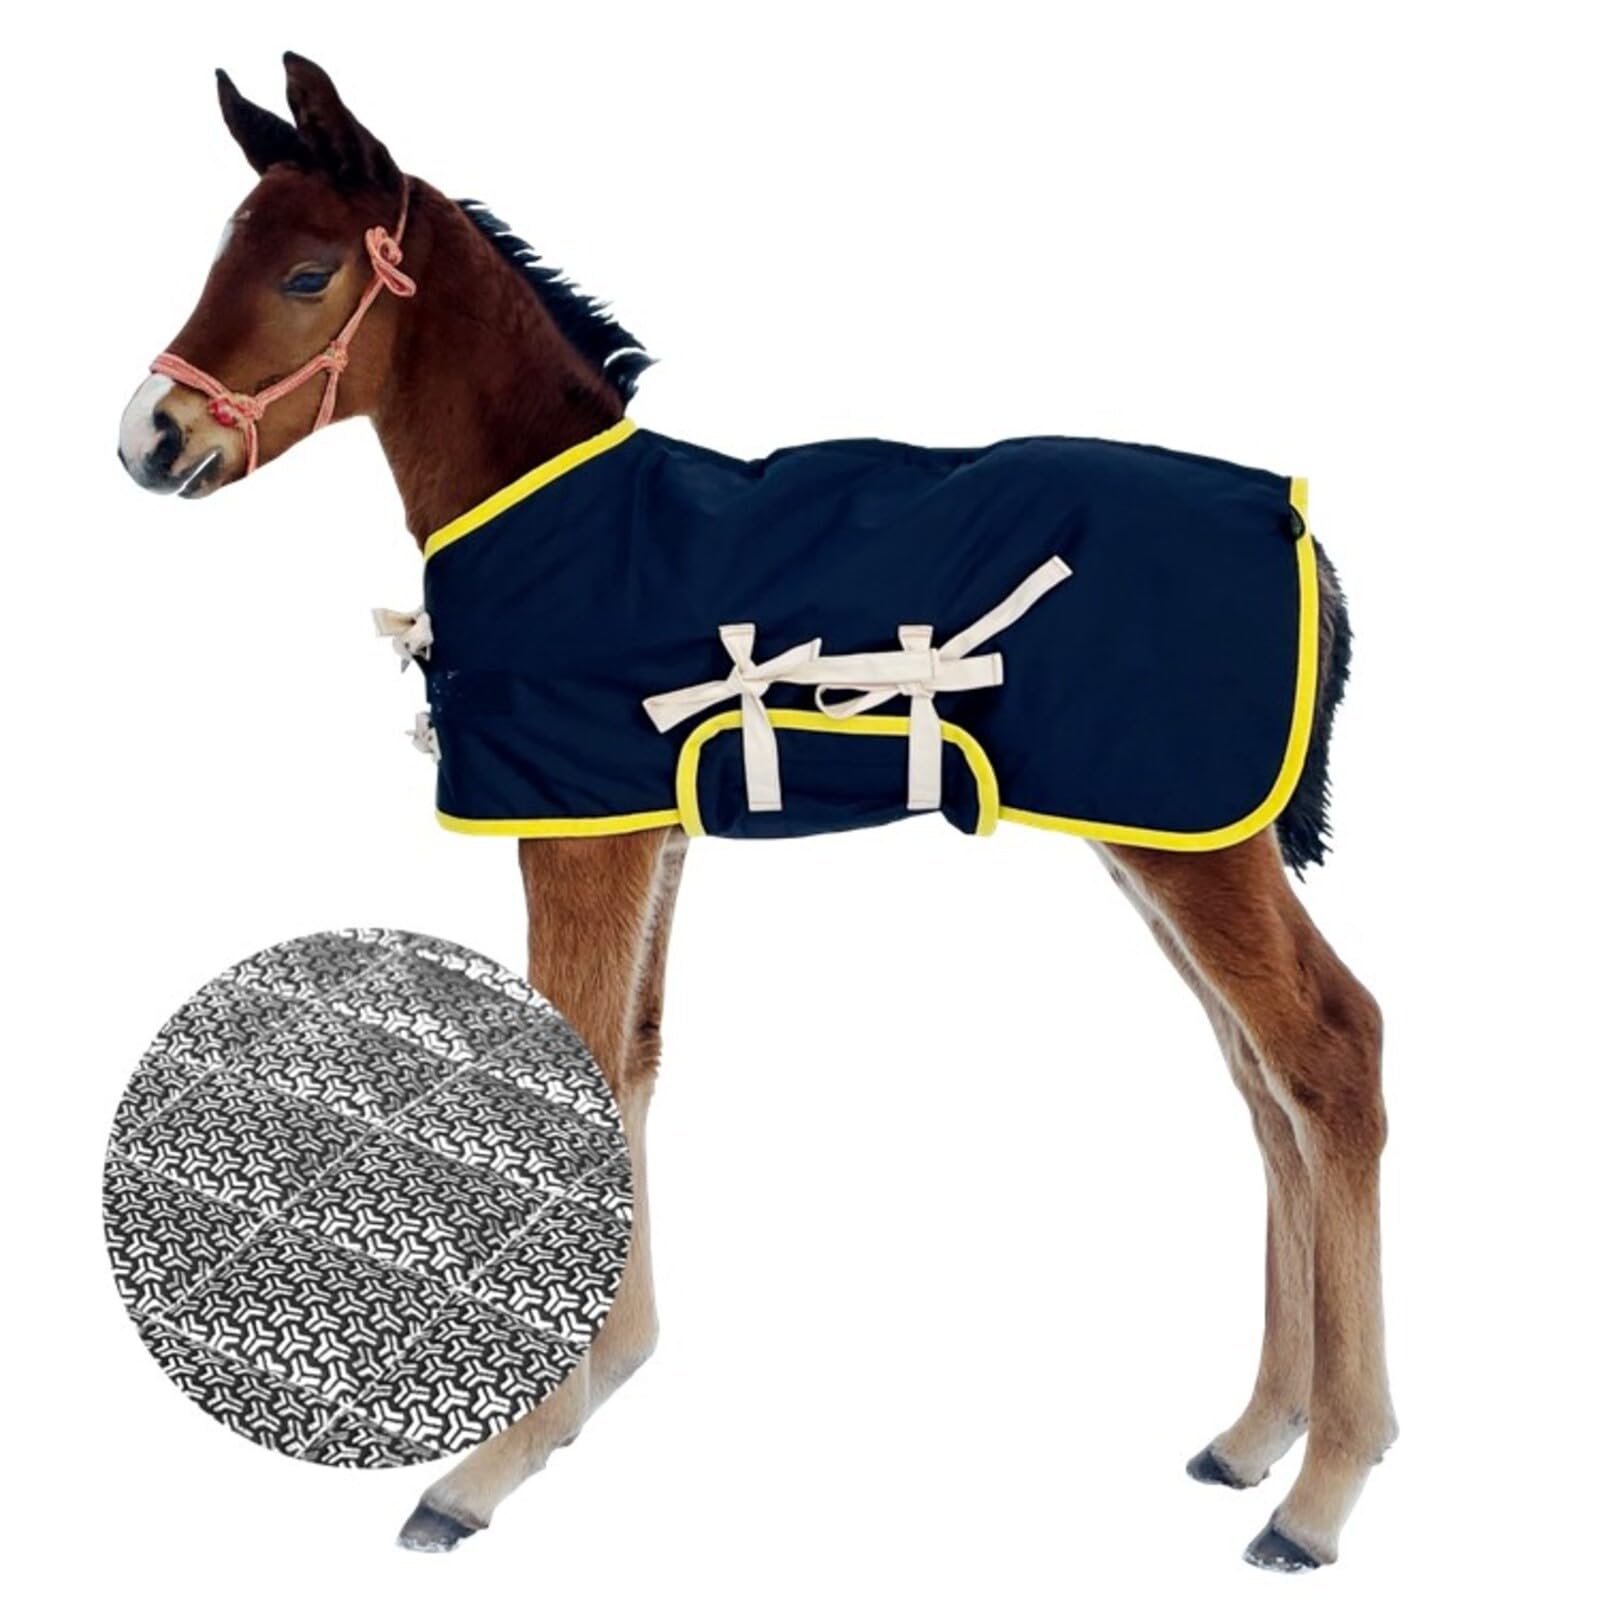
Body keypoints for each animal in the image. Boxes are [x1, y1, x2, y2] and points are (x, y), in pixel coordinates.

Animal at [117, 53, 1396, 1572]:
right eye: (220, 256)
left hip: (1191, 843)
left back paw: (1323, 1489)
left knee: (1329, 1051)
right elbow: (635, 1060)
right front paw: (598, 1382)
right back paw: (1257, 1433)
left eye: (309, 275)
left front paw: (488, 1465)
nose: (149, 438)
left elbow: (580, 1062)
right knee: (1261, 1083)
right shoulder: (648, 834)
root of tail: (1291, 524)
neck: (564, 530)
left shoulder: (579, 828)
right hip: (1164, 840)